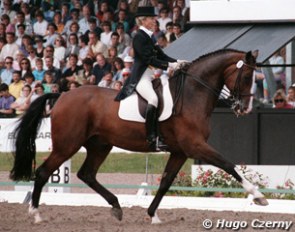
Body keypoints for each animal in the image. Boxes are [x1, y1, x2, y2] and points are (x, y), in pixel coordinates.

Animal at [9, 49, 268, 225]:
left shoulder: (180, 151)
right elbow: (228, 165)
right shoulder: (195, 146)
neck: (192, 94)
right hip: (67, 145)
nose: (244, 109)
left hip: (100, 145)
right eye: (247, 77)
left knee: (87, 174)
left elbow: (165, 182)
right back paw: (36, 214)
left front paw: (153, 215)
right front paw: (258, 196)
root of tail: (62, 95)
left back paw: (116, 207)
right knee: (43, 172)